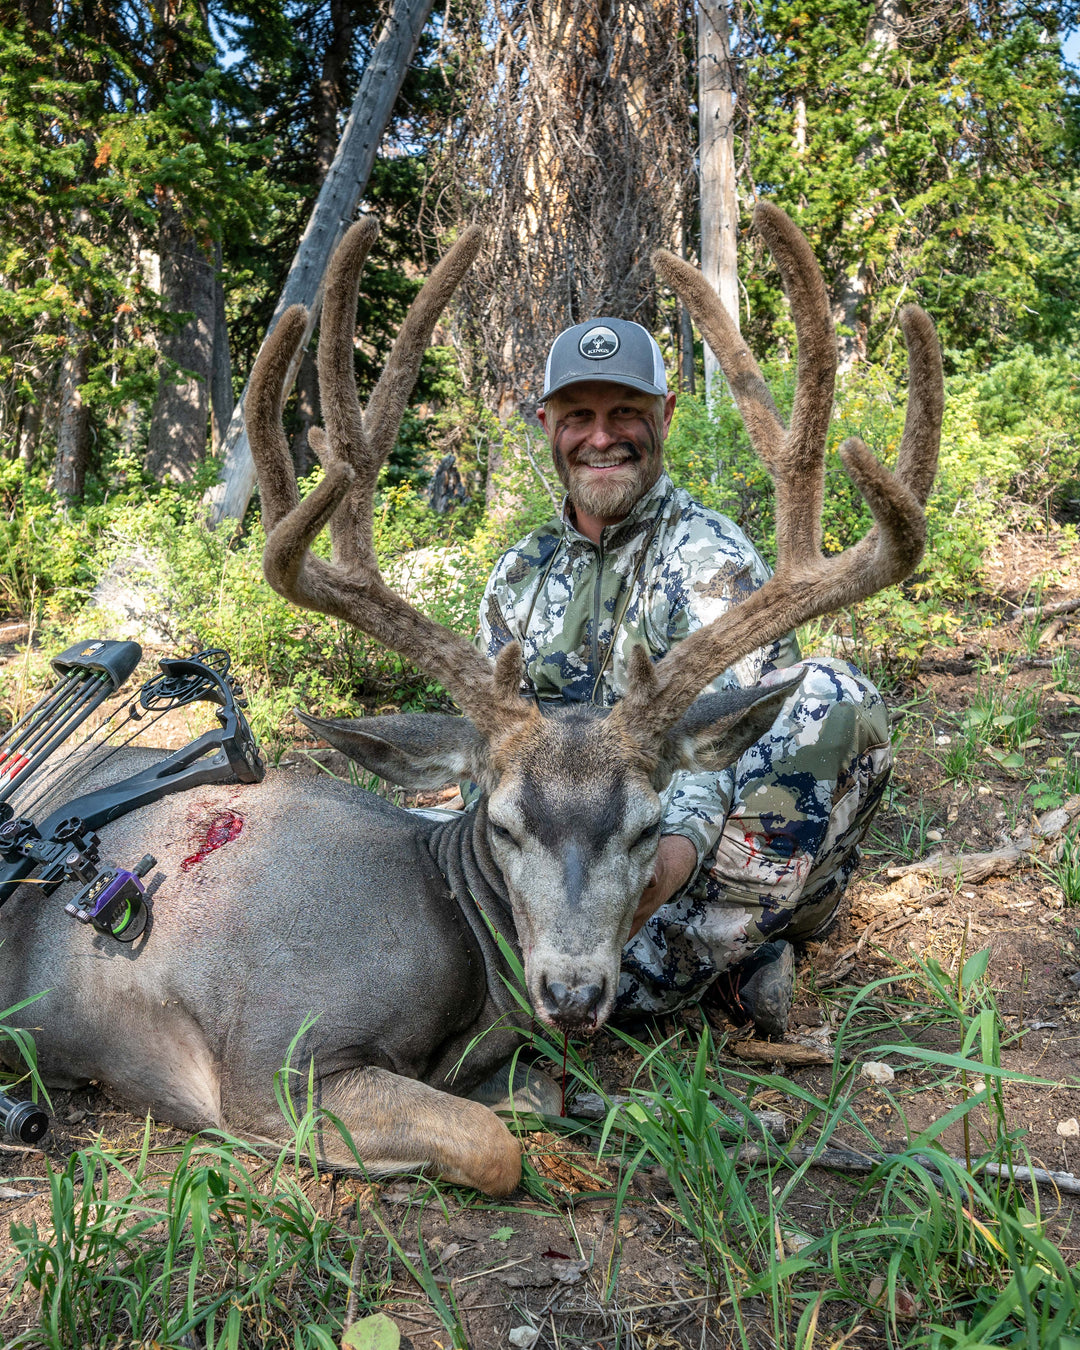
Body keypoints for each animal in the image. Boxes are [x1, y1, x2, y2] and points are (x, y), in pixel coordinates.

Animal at [0, 205, 942, 1196]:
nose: (573, 993)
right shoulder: (268, 1055)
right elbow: (494, 1146)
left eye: (647, 826)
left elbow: (553, 1098)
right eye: (503, 822)